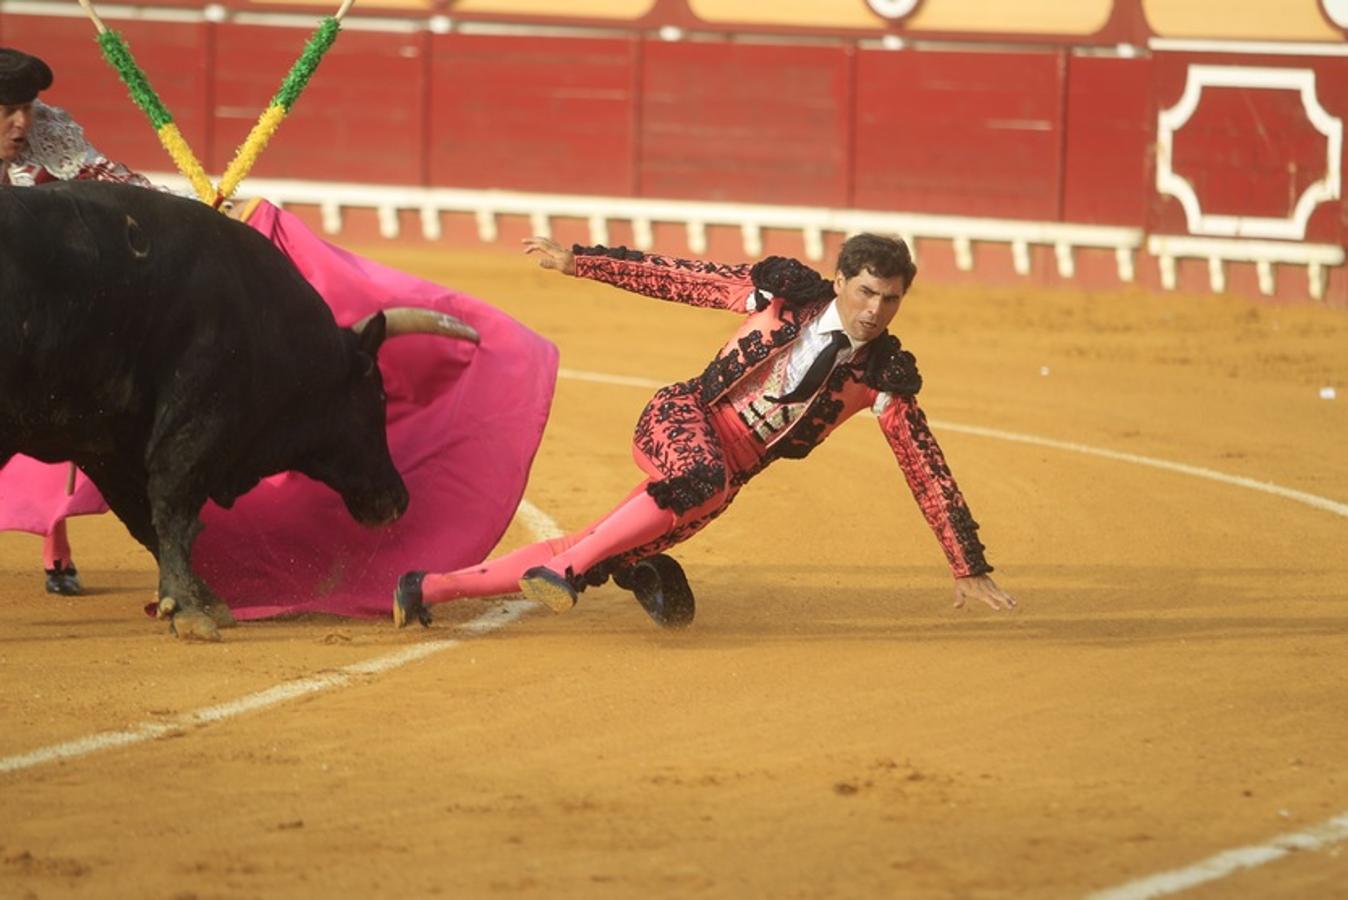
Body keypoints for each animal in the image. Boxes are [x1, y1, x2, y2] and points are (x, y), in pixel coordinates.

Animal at [0, 180, 477, 638]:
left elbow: (144, 517)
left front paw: (202, 598)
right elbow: (172, 508)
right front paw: (191, 611)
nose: (398, 499)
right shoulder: (196, 420)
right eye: (379, 397)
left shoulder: (103, 443)